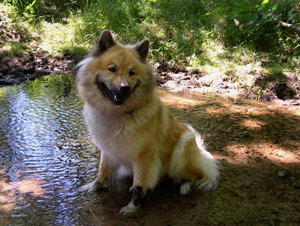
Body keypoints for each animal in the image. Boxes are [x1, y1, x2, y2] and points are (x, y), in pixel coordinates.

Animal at [76, 29, 219, 214]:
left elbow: (138, 186)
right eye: (112, 69)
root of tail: (199, 151)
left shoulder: (144, 157)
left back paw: (185, 186)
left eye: (132, 72)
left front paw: (132, 207)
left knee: (197, 176)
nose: (124, 88)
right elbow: (102, 171)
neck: (118, 113)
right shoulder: (107, 150)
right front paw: (94, 187)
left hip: (180, 153)